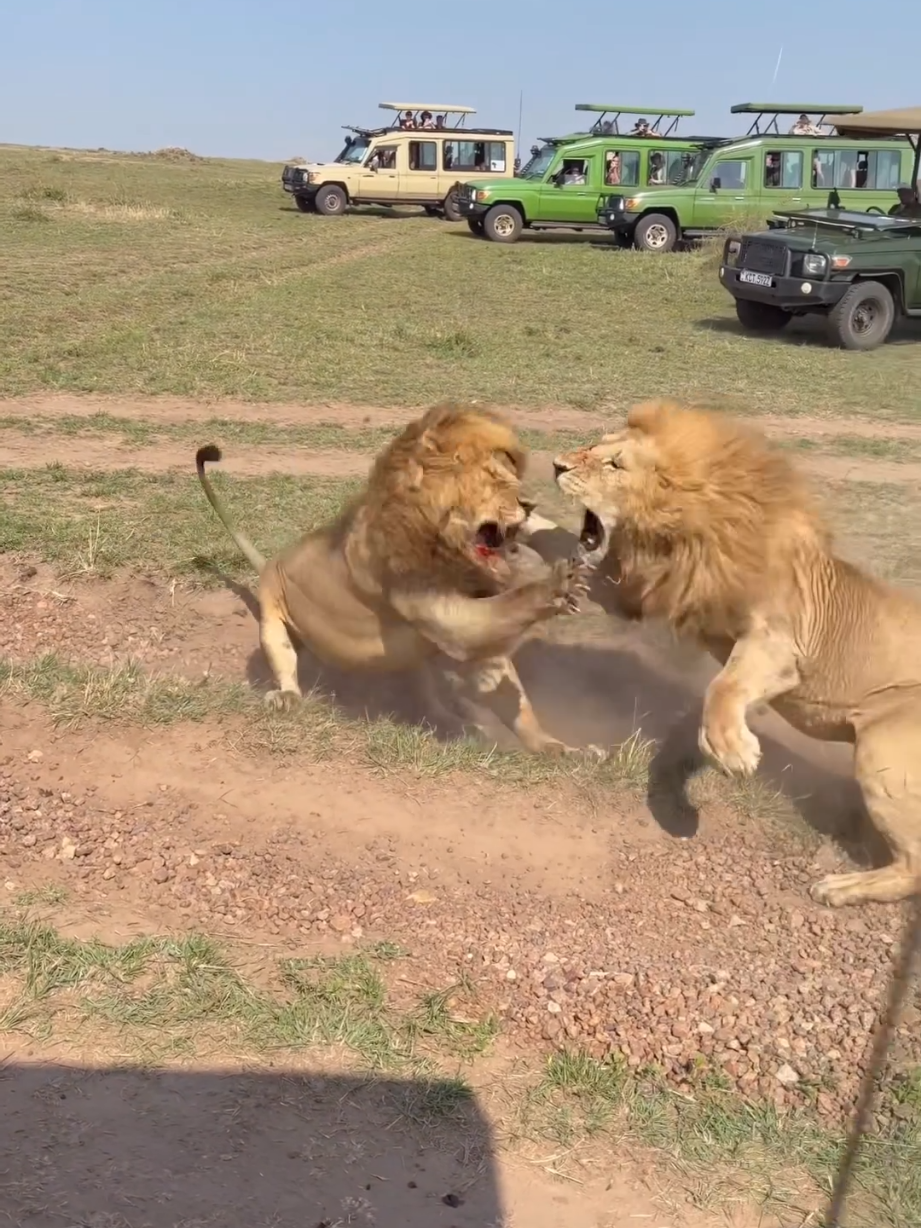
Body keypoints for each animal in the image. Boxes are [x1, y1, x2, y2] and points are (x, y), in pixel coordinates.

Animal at [195, 401, 592, 757]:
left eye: (514, 478)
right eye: (495, 480)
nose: (530, 505)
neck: (438, 541)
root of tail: (270, 561)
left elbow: (515, 704)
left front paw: (562, 749)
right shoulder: (442, 613)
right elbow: (509, 604)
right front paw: (559, 584)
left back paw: (462, 722)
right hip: (271, 622)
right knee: (285, 662)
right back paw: (287, 698)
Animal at [553, 398, 921, 908]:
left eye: (615, 465)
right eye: (593, 445)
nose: (556, 465)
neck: (678, 535)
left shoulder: (780, 641)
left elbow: (723, 686)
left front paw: (732, 751)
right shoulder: (659, 591)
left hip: (883, 749)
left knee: (914, 865)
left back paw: (842, 886)